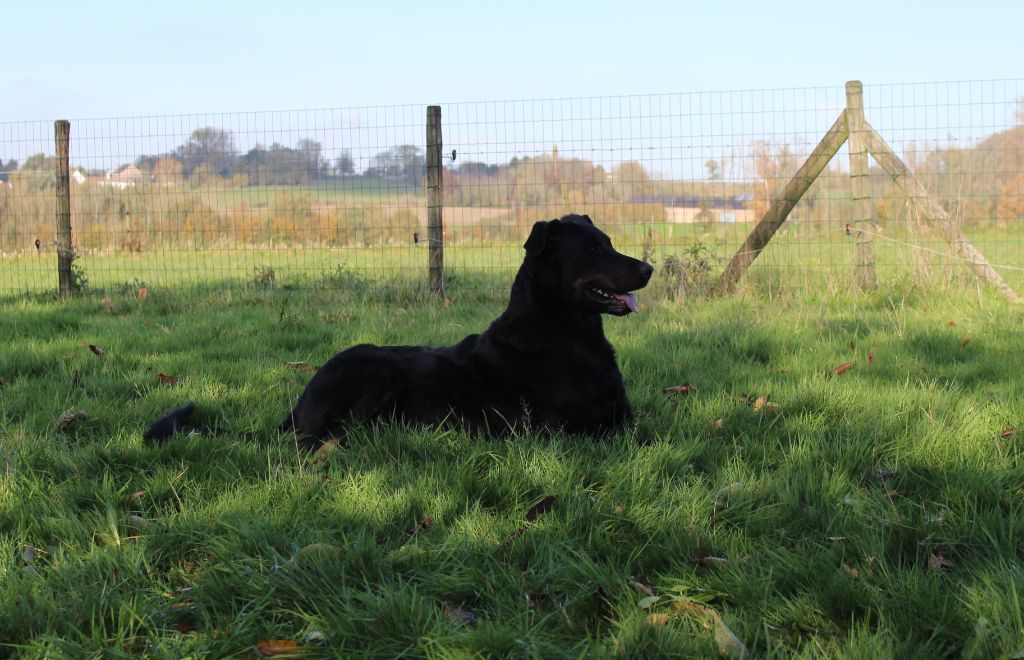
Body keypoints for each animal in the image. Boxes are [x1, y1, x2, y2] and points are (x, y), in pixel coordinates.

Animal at [282, 214, 653, 447]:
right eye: (592, 249)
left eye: (609, 243)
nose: (648, 268)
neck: (573, 337)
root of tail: (298, 407)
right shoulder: (559, 429)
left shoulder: (626, 418)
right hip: (378, 371)